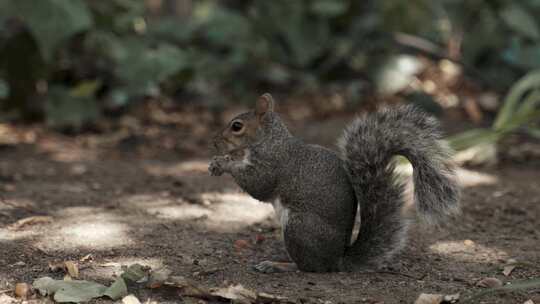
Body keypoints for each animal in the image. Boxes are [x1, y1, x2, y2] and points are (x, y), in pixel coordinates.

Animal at [209, 92, 458, 274]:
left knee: (308, 268)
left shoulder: (273, 165)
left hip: (299, 226)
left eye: (237, 126)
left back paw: (278, 265)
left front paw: (224, 164)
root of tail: (337, 260)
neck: (269, 140)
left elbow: (259, 185)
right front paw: (220, 161)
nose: (215, 142)